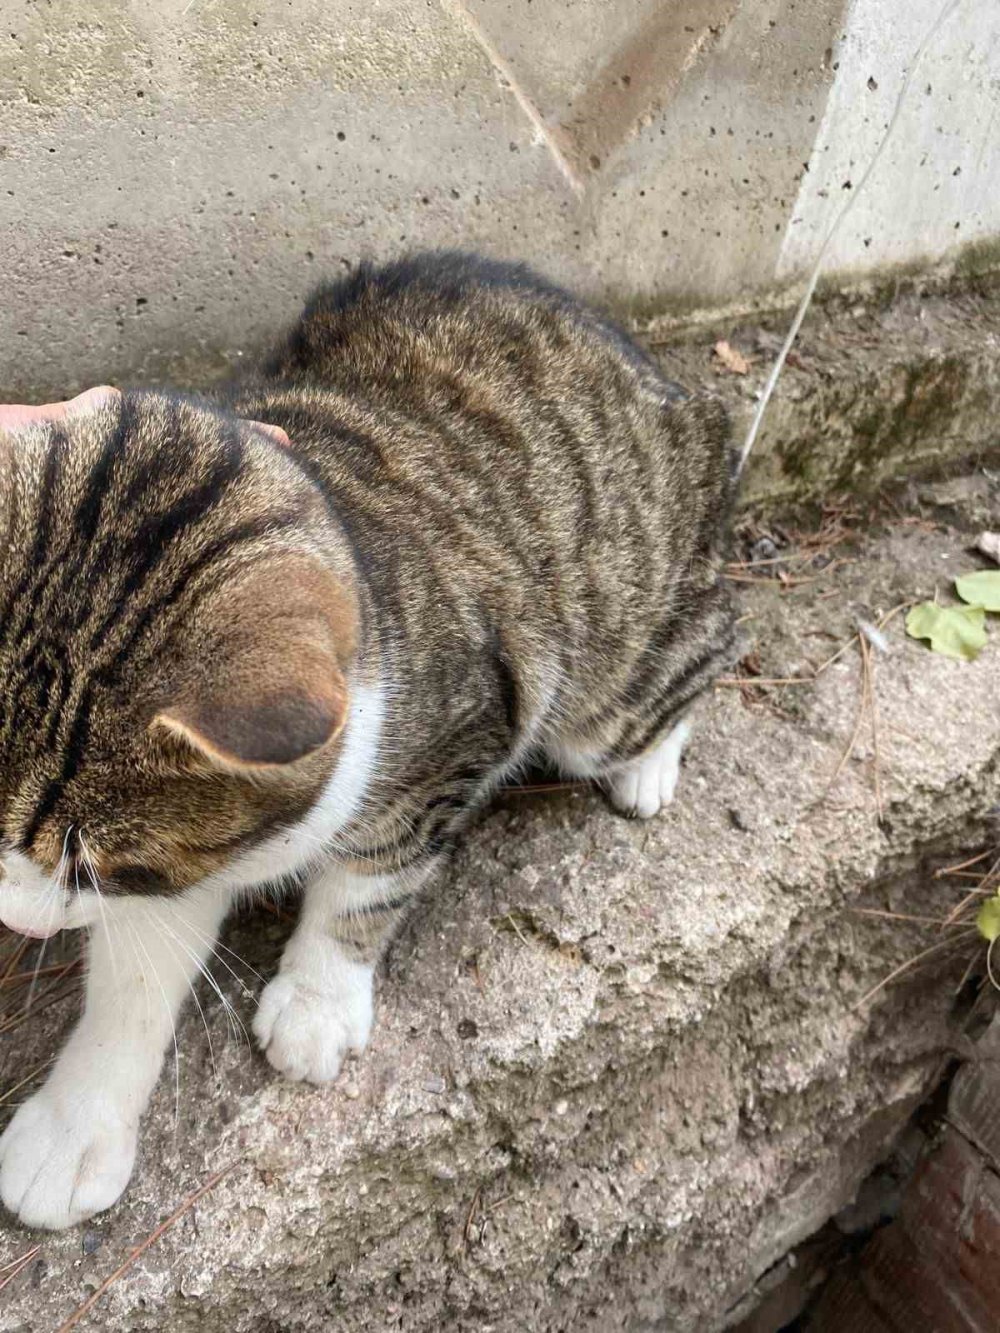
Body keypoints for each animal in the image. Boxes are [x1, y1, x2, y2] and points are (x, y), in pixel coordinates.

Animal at [0, 250, 736, 1226]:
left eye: (92, 866)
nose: (11, 918)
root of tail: (668, 384)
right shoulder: (196, 857)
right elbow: (137, 978)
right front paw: (77, 1125)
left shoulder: (461, 731)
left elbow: (372, 877)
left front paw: (318, 1002)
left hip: (612, 666)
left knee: (706, 645)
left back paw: (651, 761)